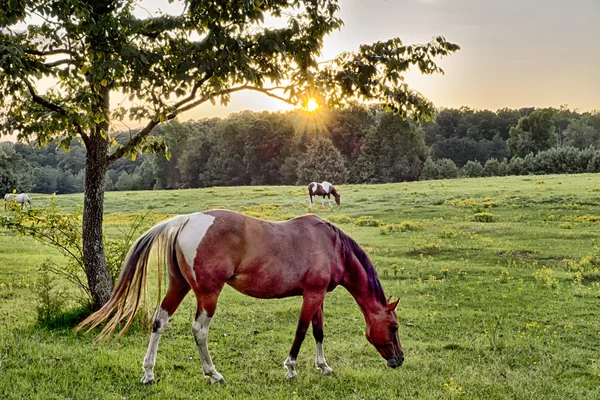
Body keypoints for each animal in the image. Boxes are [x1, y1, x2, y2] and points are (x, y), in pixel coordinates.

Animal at [75, 209, 404, 384]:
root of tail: (186, 220)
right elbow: (301, 331)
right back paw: (213, 373)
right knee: (199, 330)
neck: (330, 245)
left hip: (178, 286)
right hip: (208, 293)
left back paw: (148, 372)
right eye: (394, 326)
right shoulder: (311, 295)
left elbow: (318, 332)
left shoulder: (317, 295)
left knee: (159, 322)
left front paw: (323, 365)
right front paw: (291, 368)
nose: (399, 359)